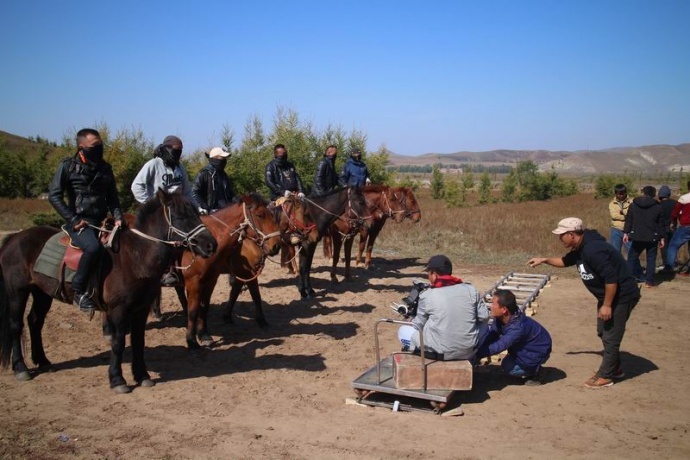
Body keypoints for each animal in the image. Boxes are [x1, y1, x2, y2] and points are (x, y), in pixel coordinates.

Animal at [0, 190, 216, 392]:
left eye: (196, 213)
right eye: (180, 216)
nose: (210, 244)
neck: (135, 257)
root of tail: (14, 238)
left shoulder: (141, 308)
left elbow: (138, 341)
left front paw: (142, 375)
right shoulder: (118, 310)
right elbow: (118, 342)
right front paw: (117, 379)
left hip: (42, 293)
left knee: (35, 322)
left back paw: (43, 361)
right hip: (18, 291)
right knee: (15, 325)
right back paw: (21, 368)